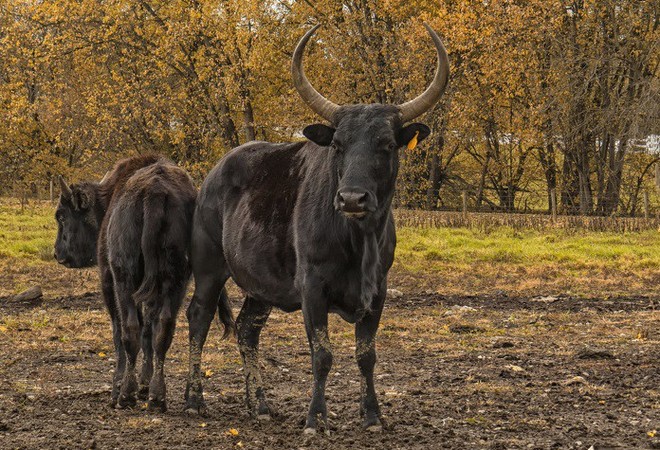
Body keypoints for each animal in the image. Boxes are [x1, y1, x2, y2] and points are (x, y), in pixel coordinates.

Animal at [186, 23, 448, 432]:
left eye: (387, 144)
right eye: (338, 144)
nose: (352, 199)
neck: (358, 244)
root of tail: (214, 175)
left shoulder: (378, 291)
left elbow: (366, 355)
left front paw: (372, 416)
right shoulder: (312, 289)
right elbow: (322, 355)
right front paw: (315, 418)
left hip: (260, 285)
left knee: (247, 330)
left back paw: (259, 405)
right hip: (209, 267)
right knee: (198, 318)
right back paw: (194, 400)